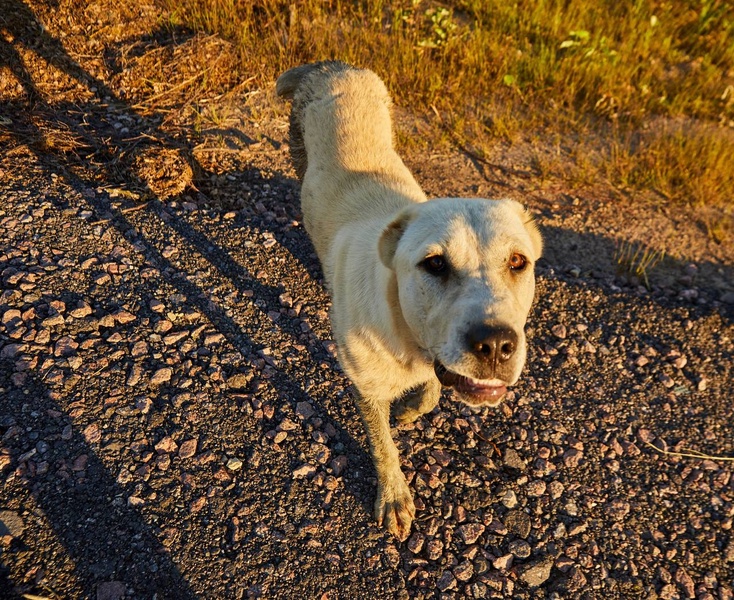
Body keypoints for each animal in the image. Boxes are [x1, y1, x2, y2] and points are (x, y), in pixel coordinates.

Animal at [278, 62, 544, 540]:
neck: (404, 330)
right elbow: (382, 446)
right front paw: (394, 496)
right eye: (434, 264)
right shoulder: (365, 385)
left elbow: (432, 393)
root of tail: (333, 66)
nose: (497, 345)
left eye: (518, 261)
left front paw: (412, 409)